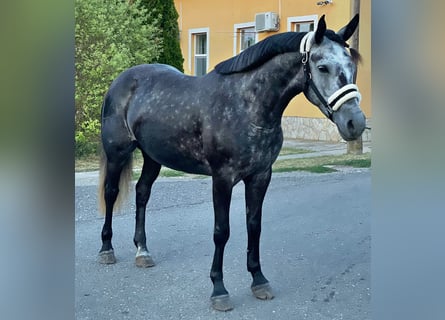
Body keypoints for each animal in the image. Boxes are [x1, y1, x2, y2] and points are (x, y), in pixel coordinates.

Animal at [97, 14, 364, 310]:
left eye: (352, 65)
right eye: (322, 67)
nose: (355, 123)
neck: (246, 106)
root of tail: (120, 81)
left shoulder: (260, 176)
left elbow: (254, 226)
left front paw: (259, 280)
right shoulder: (222, 179)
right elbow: (221, 231)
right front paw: (218, 289)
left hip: (153, 156)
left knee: (142, 193)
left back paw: (142, 251)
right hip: (117, 152)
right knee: (111, 193)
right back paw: (106, 249)